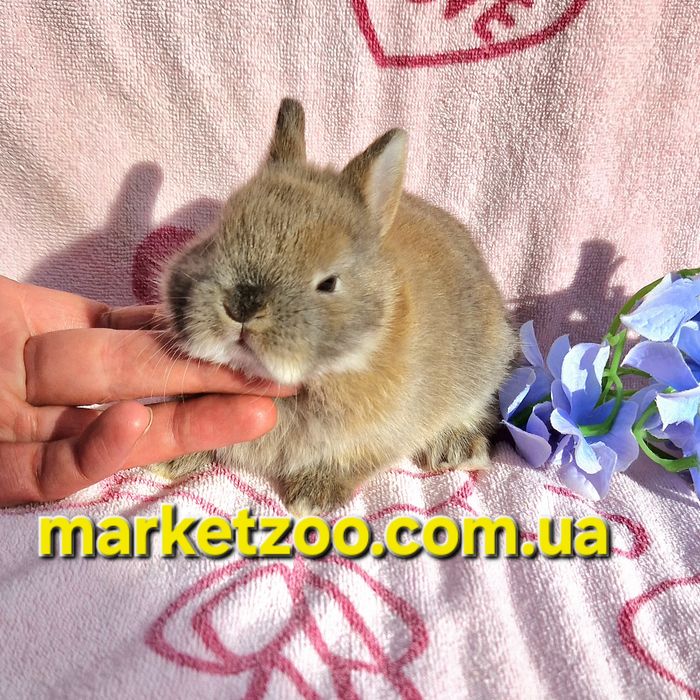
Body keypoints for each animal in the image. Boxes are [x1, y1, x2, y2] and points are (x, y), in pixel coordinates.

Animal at [155, 98, 515, 516]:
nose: (241, 305)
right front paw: (173, 460)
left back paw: (456, 450)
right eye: (215, 237)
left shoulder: (376, 437)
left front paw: (310, 498)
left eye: (329, 283)